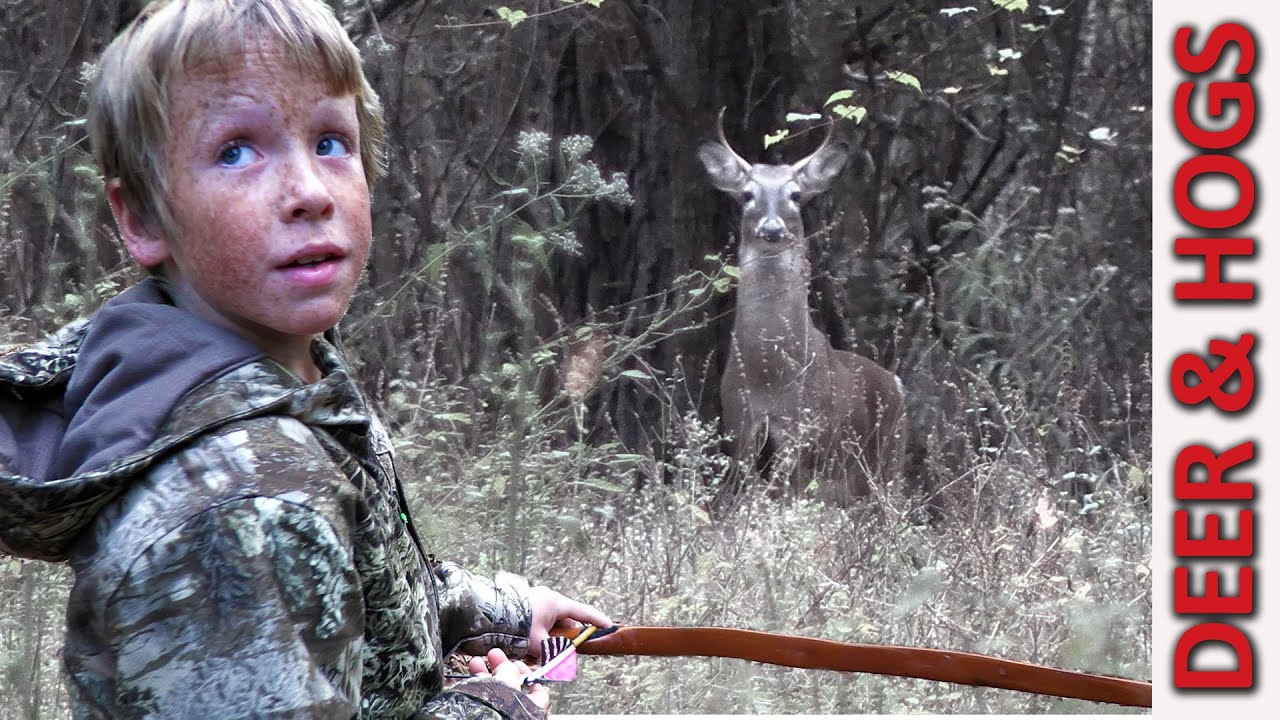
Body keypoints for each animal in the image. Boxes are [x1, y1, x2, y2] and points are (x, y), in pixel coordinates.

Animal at [698, 112, 906, 506]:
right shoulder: (740, 426)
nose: (772, 228)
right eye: (747, 195)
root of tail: (897, 384)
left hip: (885, 462)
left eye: (795, 195)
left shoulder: (805, 432)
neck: (770, 374)